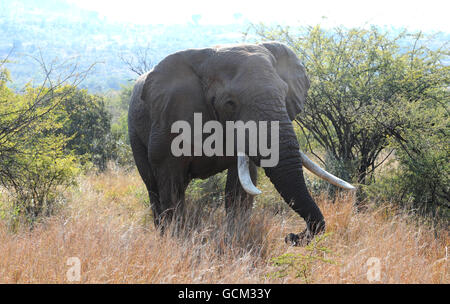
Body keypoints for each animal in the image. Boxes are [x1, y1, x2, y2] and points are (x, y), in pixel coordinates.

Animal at [127, 41, 356, 245]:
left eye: (285, 94)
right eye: (230, 103)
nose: (291, 236)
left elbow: (239, 190)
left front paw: (235, 238)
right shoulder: (169, 120)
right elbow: (171, 185)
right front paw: (178, 242)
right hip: (135, 132)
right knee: (154, 187)